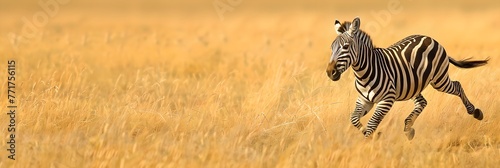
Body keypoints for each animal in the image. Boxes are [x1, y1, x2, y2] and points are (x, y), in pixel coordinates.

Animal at [326, 16, 486, 140]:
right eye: (331, 48)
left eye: (346, 46)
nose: (330, 72)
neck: (364, 74)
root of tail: (430, 38)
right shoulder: (364, 100)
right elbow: (353, 118)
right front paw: (369, 135)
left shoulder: (386, 100)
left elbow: (372, 124)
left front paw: (369, 143)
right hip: (413, 84)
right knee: (422, 102)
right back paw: (408, 129)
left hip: (438, 80)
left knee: (457, 85)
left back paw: (475, 112)